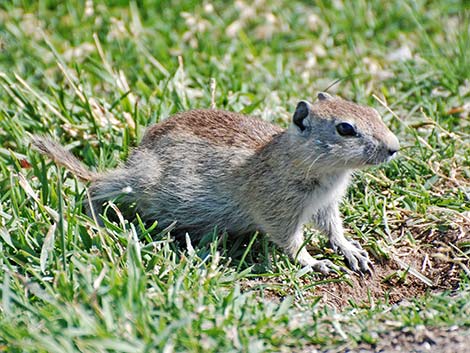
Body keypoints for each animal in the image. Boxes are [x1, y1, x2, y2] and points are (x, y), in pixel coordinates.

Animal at [32, 92, 400, 274]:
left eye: (372, 111)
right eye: (345, 129)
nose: (395, 148)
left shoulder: (326, 205)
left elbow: (333, 230)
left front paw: (351, 251)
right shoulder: (278, 210)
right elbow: (291, 242)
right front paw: (315, 263)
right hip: (138, 184)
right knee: (94, 187)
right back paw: (98, 221)